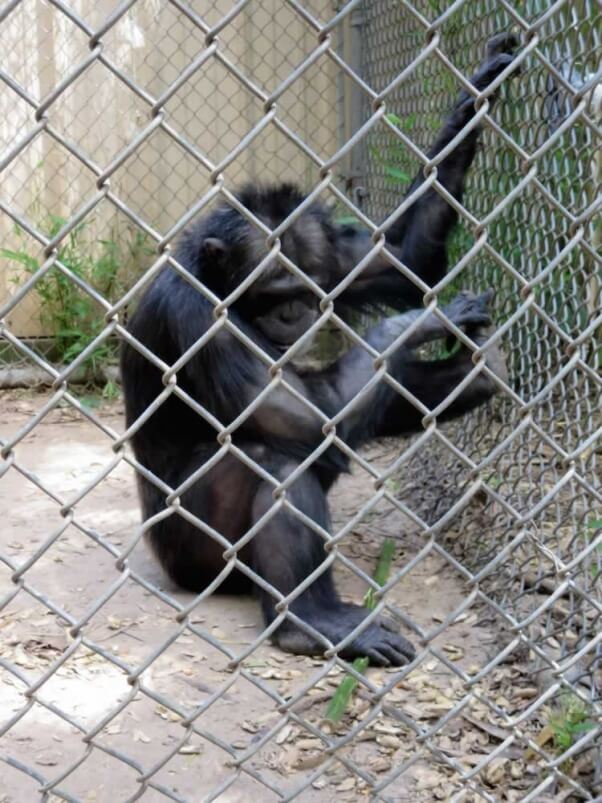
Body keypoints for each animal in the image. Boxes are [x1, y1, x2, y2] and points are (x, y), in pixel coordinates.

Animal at [120, 33, 516, 664]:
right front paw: (416, 322)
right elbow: (310, 416)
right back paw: (308, 622)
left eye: (305, 288)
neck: (219, 285)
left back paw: (475, 373)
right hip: (194, 559)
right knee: (281, 462)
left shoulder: (334, 255)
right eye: (273, 291)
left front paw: (474, 95)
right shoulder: (197, 321)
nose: (294, 312)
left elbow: (401, 256)